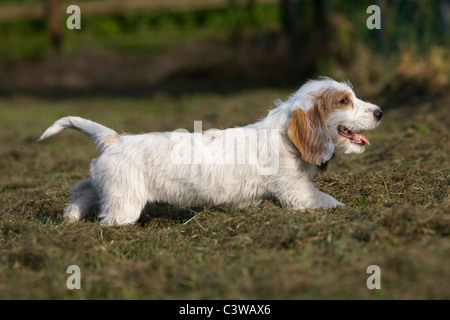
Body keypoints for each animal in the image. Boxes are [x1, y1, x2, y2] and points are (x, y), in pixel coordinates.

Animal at [39, 78, 384, 225]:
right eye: (344, 101)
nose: (380, 112)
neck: (284, 136)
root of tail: (114, 139)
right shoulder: (298, 193)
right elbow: (332, 203)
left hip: (107, 185)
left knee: (84, 186)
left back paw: (70, 216)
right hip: (125, 203)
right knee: (107, 216)